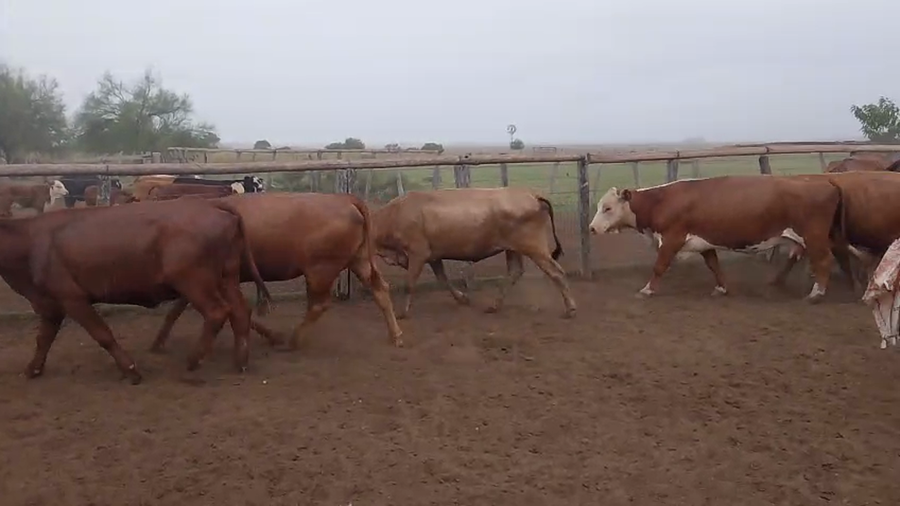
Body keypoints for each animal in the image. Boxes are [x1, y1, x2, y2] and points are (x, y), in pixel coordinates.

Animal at [0, 198, 273, 384]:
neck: (31, 240)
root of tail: (215, 208)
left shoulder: (72, 298)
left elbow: (102, 334)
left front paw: (130, 370)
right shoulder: (51, 304)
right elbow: (43, 339)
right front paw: (33, 369)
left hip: (194, 281)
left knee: (217, 312)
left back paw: (194, 359)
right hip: (227, 278)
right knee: (240, 312)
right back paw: (241, 360)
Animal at [148, 192, 403, 352]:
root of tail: (346, 200)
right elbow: (175, 311)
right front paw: (158, 342)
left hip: (320, 270)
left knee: (319, 305)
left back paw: (293, 340)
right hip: (358, 260)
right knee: (380, 289)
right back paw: (395, 335)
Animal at [371, 187, 577, 319]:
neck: (395, 213)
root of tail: (532, 195)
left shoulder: (417, 254)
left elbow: (410, 284)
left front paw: (402, 312)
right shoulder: (433, 256)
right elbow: (443, 279)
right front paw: (463, 298)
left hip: (534, 248)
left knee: (556, 272)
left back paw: (570, 309)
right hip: (512, 249)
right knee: (514, 272)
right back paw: (493, 306)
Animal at [588, 176, 846, 302]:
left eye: (608, 208)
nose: (591, 228)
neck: (661, 201)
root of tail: (826, 183)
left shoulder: (672, 239)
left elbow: (659, 266)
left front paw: (647, 290)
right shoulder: (704, 242)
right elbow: (714, 265)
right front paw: (722, 288)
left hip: (813, 237)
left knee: (823, 261)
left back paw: (816, 294)